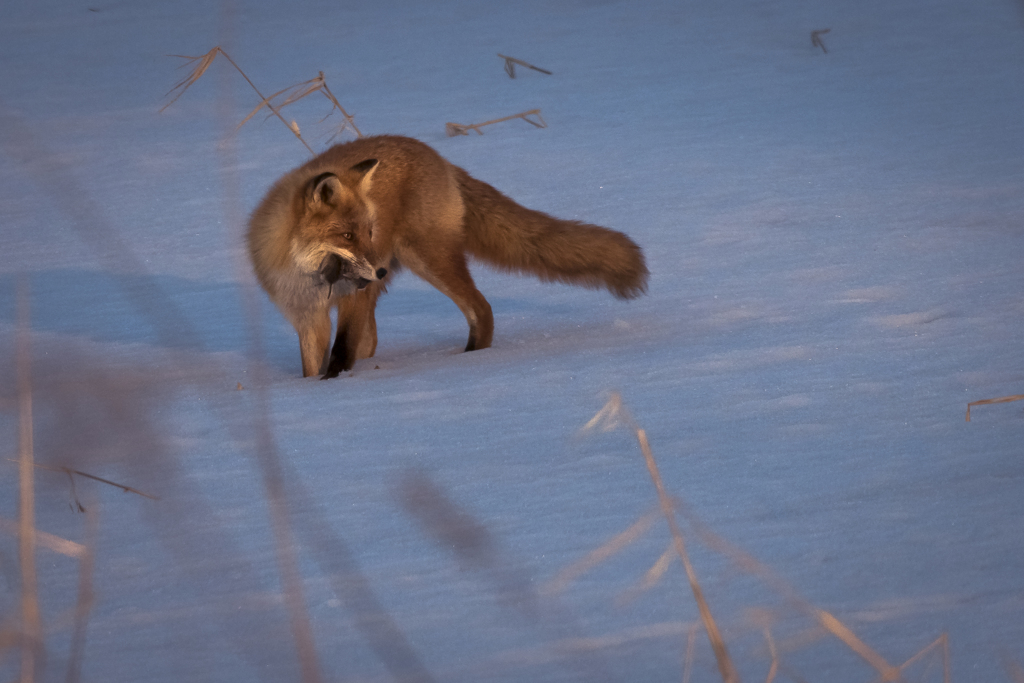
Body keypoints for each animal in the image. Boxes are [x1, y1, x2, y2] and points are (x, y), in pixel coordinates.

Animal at [247, 133, 647, 378]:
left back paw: (471, 360)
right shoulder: (306, 317)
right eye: (347, 235)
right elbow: (314, 365)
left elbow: (342, 351)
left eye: (369, 232)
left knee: (481, 308)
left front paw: (335, 385)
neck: (313, 276)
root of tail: (438, 156)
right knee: (372, 341)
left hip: (430, 259)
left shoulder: (353, 299)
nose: (379, 271)